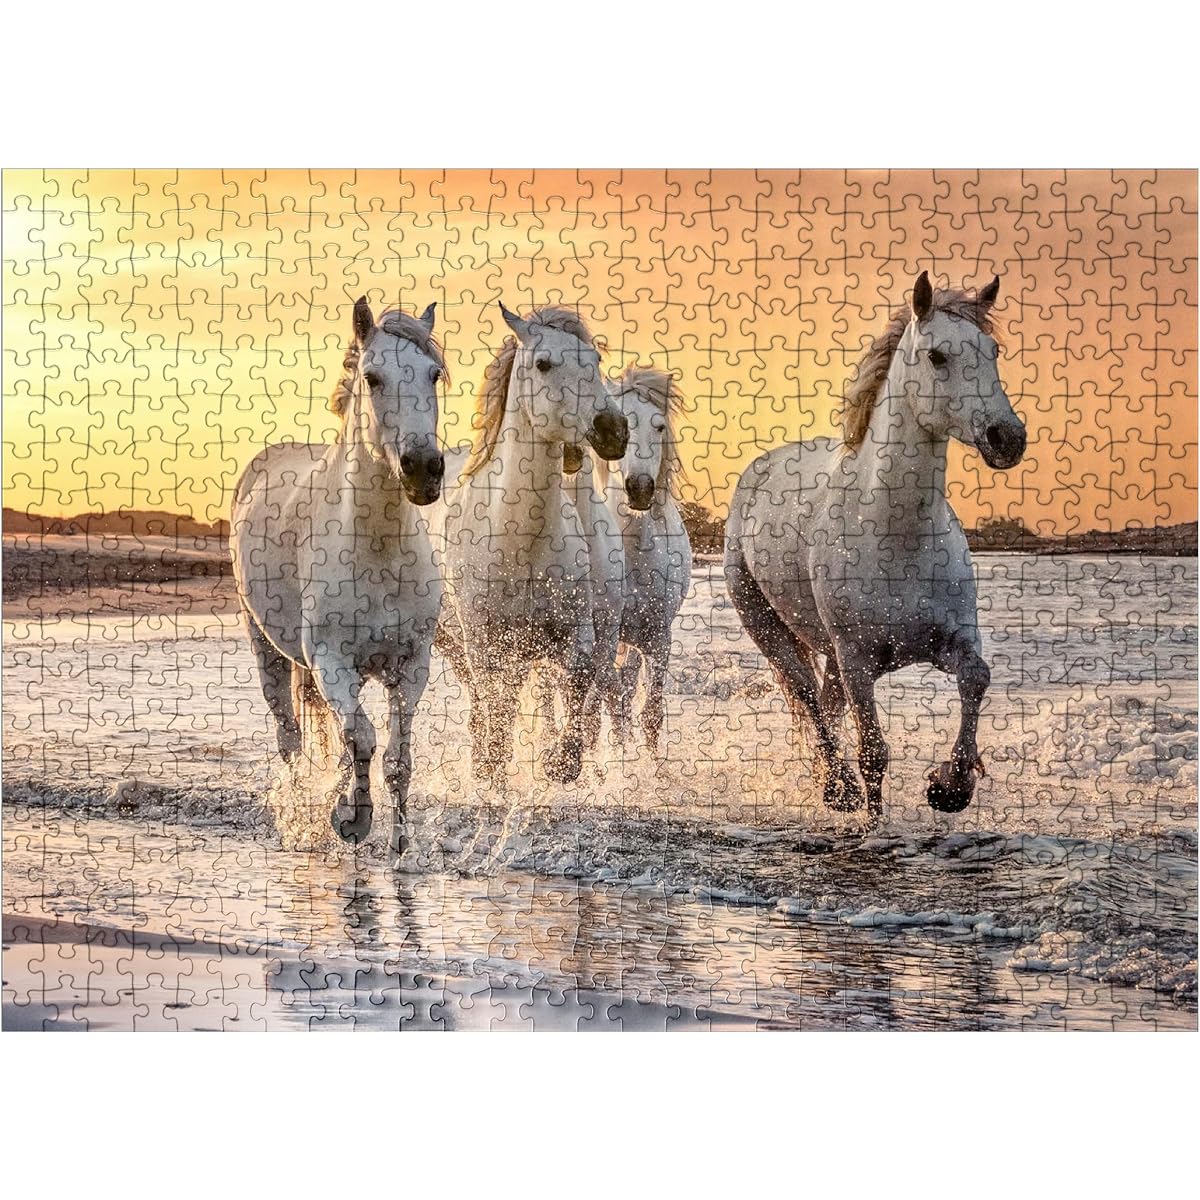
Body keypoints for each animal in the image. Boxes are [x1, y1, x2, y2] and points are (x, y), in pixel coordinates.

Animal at [231, 298, 447, 861]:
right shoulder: (332, 663)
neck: (377, 549)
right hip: (267, 650)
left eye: (434, 374)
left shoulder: (411, 668)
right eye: (373, 377)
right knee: (291, 739)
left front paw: (398, 844)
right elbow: (364, 739)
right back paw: (303, 812)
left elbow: (395, 757)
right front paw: (352, 820)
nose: (423, 469)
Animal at [438, 304, 629, 786]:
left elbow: (578, 677)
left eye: (595, 360)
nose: (613, 430)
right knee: (483, 699)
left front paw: (561, 762)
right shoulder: (483, 639)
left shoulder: (574, 630)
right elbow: (496, 702)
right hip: (452, 642)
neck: (519, 541)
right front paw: (494, 767)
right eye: (543, 364)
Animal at [724, 272, 1026, 823]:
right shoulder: (858, 659)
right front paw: (873, 820)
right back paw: (837, 788)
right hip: (770, 629)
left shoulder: (950, 640)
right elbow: (873, 755)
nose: (1007, 438)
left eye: (993, 350)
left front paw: (950, 787)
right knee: (810, 699)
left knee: (826, 704)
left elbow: (976, 677)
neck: (896, 537)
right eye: (937, 356)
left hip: (829, 652)